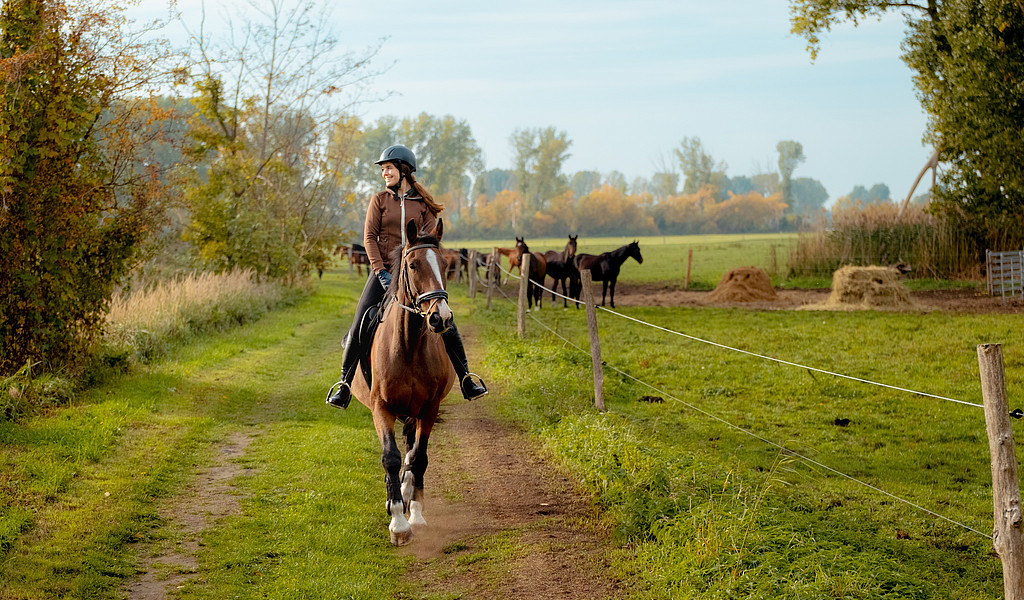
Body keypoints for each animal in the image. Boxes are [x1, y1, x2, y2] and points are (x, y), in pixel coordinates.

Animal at [350, 219, 456, 546]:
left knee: (411, 448)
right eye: (412, 265)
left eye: (446, 264)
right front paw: (398, 523)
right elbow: (390, 457)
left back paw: (408, 492)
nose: (440, 318)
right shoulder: (381, 408)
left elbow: (418, 457)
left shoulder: (429, 409)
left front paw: (416, 515)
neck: (408, 346)